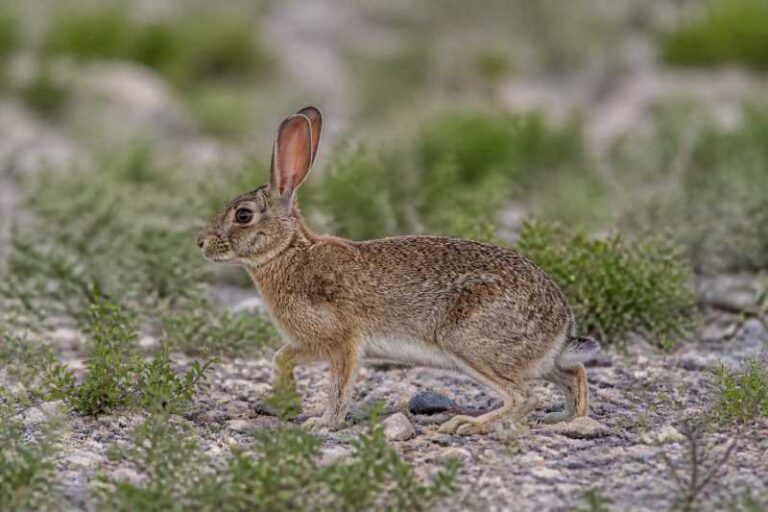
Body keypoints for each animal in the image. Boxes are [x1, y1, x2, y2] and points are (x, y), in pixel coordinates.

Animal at [197, 106, 600, 435]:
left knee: (523, 396)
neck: (286, 252)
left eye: (243, 215)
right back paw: (567, 418)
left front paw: (324, 423)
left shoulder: (342, 342)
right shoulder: (311, 343)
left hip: (470, 344)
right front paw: (286, 399)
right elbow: (282, 357)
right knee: (573, 373)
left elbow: (338, 387)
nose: (201, 243)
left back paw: (467, 424)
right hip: (531, 359)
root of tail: (560, 326)